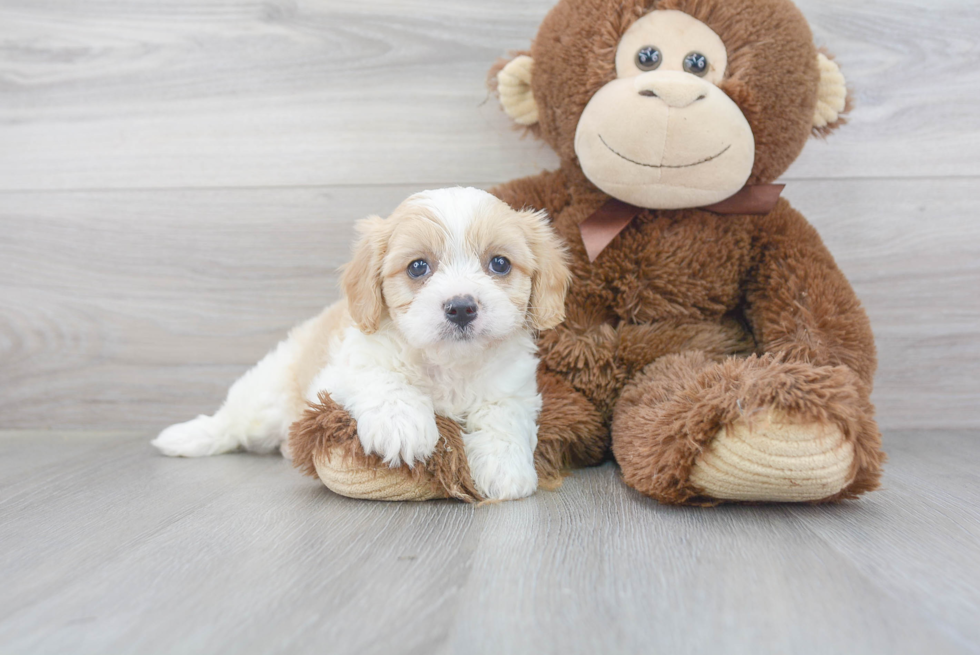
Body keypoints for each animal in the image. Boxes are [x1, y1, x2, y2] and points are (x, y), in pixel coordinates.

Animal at [149, 187, 572, 500]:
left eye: (499, 264)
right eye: (418, 267)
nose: (462, 307)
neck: (447, 364)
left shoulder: (514, 388)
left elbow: (504, 416)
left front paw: (504, 467)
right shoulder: (337, 374)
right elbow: (379, 377)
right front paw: (402, 426)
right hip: (266, 398)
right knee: (232, 421)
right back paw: (185, 437)